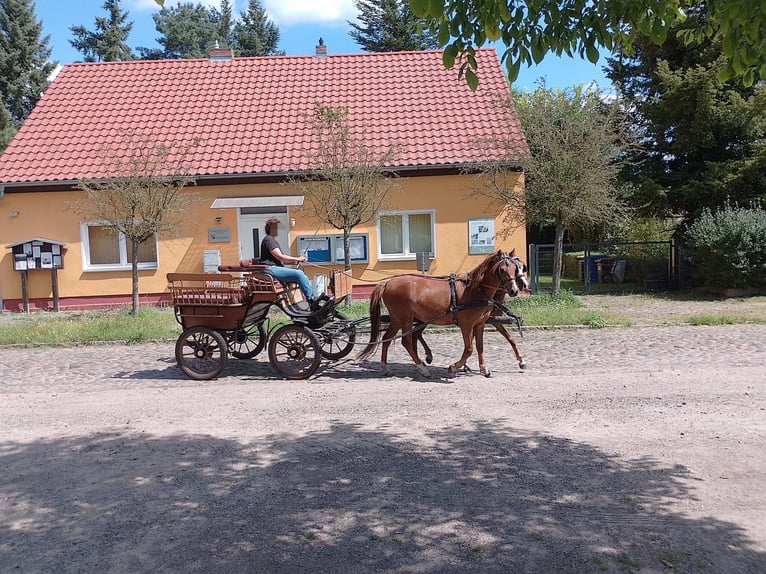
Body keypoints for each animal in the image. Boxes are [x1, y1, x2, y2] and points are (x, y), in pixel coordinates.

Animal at [358, 249, 520, 378]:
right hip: (406, 319)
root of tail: (387, 283)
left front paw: (483, 369)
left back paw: (385, 367)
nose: (514, 290)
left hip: (397, 319)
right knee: (406, 341)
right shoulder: (466, 325)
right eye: (502, 270)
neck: (475, 290)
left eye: (515, 268)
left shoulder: (479, 324)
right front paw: (454, 367)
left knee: (387, 338)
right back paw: (422, 368)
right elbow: (469, 349)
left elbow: (480, 347)